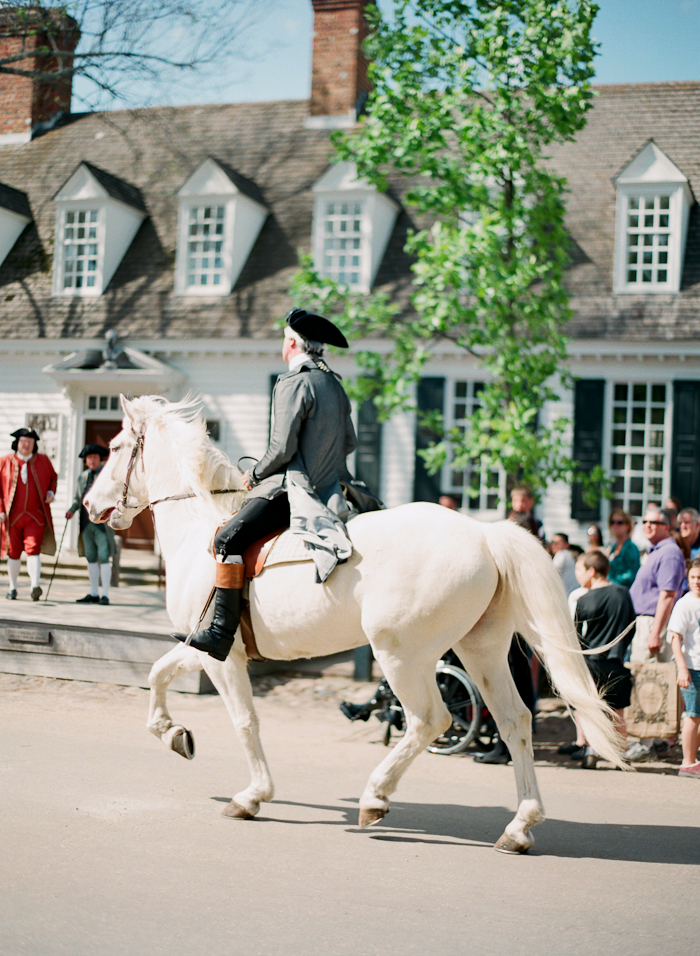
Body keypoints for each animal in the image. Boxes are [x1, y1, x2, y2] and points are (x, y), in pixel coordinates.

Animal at [85, 392, 628, 856]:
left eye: (115, 447)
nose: (90, 505)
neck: (203, 525)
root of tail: (483, 533)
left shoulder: (221, 654)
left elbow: (243, 720)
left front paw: (252, 794)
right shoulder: (202, 647)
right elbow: (157, 675)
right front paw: (173, 733)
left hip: (402, 656)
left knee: (430, 720)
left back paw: (375, 796)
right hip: (482, 652)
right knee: (514, 721)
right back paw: (519, 825)